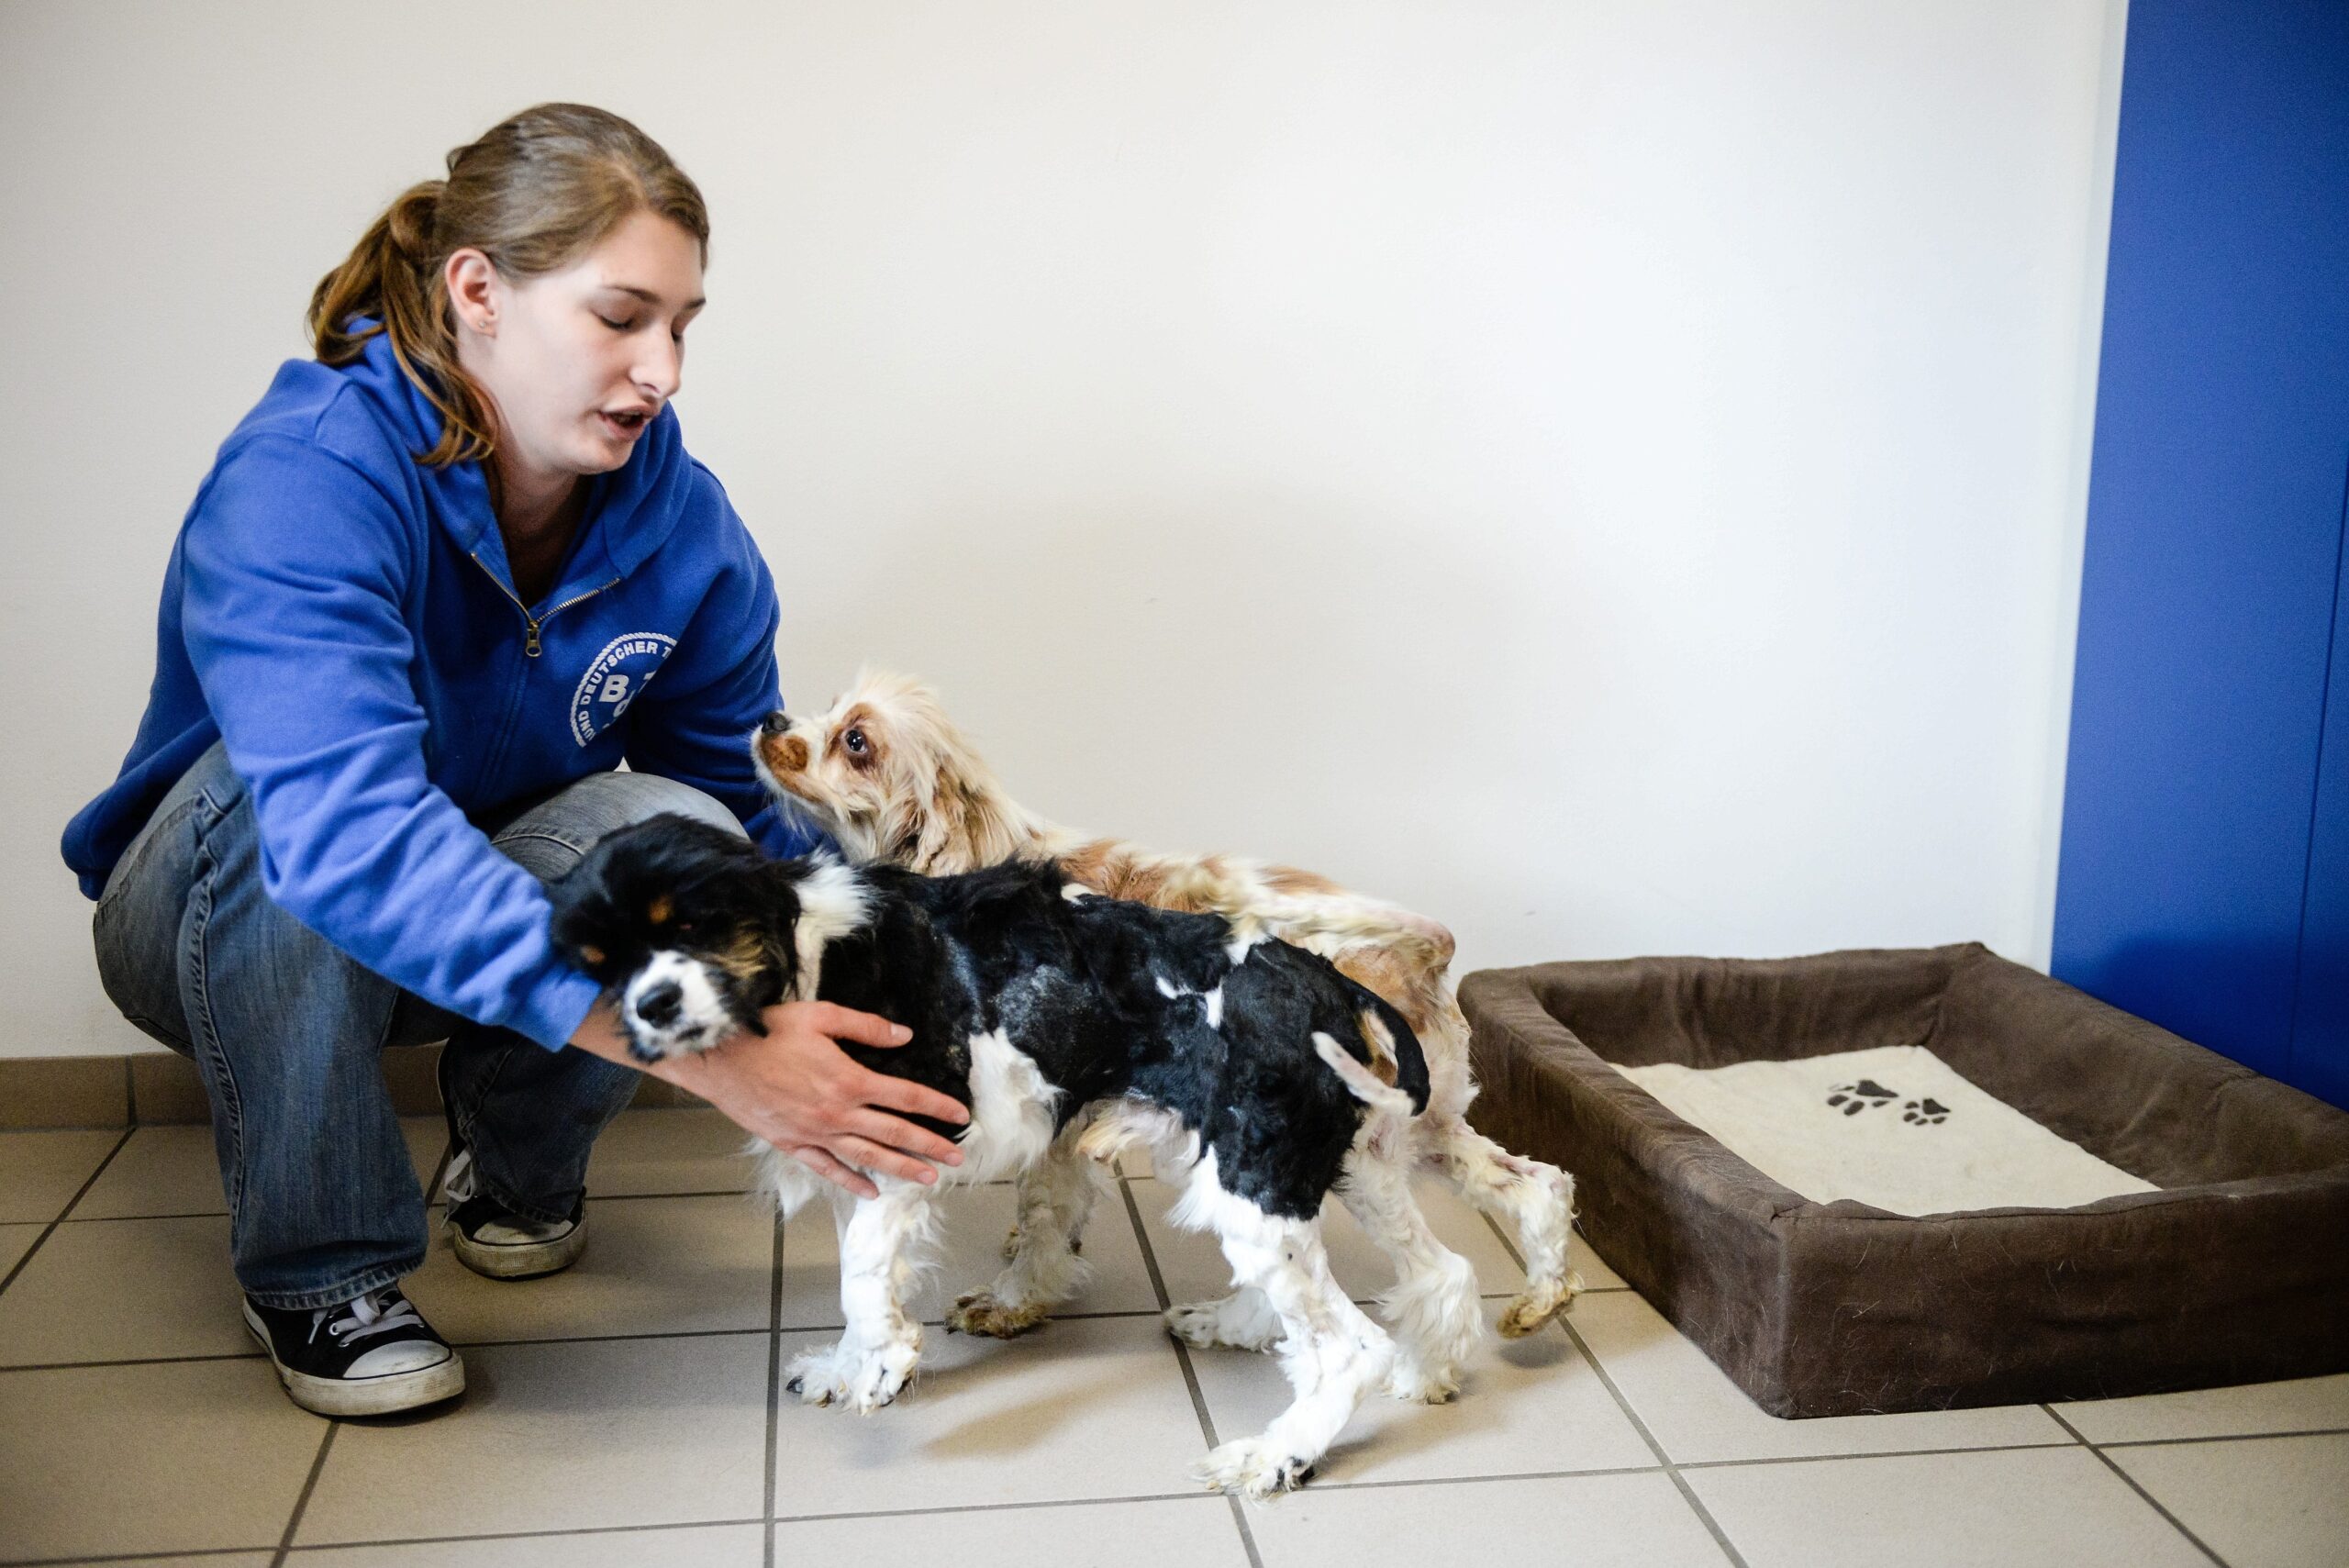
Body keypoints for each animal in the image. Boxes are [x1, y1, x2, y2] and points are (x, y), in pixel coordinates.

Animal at [550, 817, 1484, 1502]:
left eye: (692, 922)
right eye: (597, 961)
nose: (652, 1006)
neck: (817, 954)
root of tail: (1334, 984)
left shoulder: (897, 1140)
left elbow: (862, 1276)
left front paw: (882, 1367)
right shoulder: (848, 1153)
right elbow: (861, 1275)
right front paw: (844, 1368)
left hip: (1258, 1170)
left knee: (1347, 1345)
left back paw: (1275, 1454)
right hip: (1331, 1162)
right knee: (1438, 1273)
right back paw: (1404, 1368)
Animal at [751, 666, 1587, 1342]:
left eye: (856, 740)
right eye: (831, 708)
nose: (769, 722)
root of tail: (1424, 948)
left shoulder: (1058, 1126)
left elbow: (1046, 1214)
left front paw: (1013, 1299)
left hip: (1349, 1151)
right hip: (1429, 1124)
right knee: (1540, 1184)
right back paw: (1540, 1298)